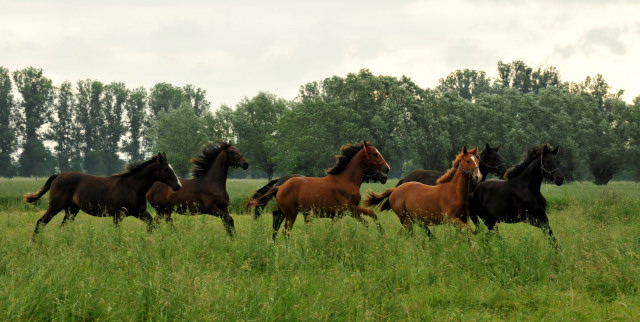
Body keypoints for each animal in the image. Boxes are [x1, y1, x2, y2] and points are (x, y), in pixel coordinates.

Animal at [25, 152, 180, 240]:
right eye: (166, 169)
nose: (178, 186)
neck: (132, 187)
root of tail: (57, 176)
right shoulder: (118, 214)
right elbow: (116, 231)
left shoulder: (139, 212)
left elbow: (152, 224)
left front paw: (148, 240)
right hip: (56, 206)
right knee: (41, 222)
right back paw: (33, 243)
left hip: (71, 210)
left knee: (62, 227)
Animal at [249, 141, 390, 239]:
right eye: (375, 154)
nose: (387, 170)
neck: (346, 180)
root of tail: (280, 186)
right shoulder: (350, 209)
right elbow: (371, 215)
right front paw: (381, 232)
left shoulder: (342, 213)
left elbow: (367, 220)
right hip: (291, 213)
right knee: (285, 231)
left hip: (287, 213)